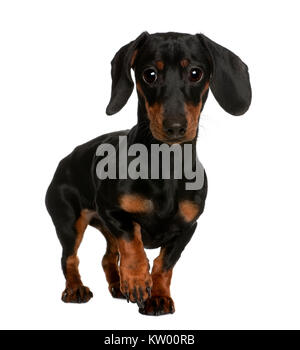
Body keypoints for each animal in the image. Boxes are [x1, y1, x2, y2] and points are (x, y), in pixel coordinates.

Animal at [45, 32, 251, 316]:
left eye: (196, 73)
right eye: (150, 74)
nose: (174, 127)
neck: (166, 165)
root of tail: (66, 159)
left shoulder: (187, 228)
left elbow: (165, 264)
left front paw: (158, 296)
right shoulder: (112, 211)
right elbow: (133, 243)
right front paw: (136, 280)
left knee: (108, 257)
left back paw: (117, 286)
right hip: (69, 221)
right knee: (69, 257)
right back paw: (77, 288)